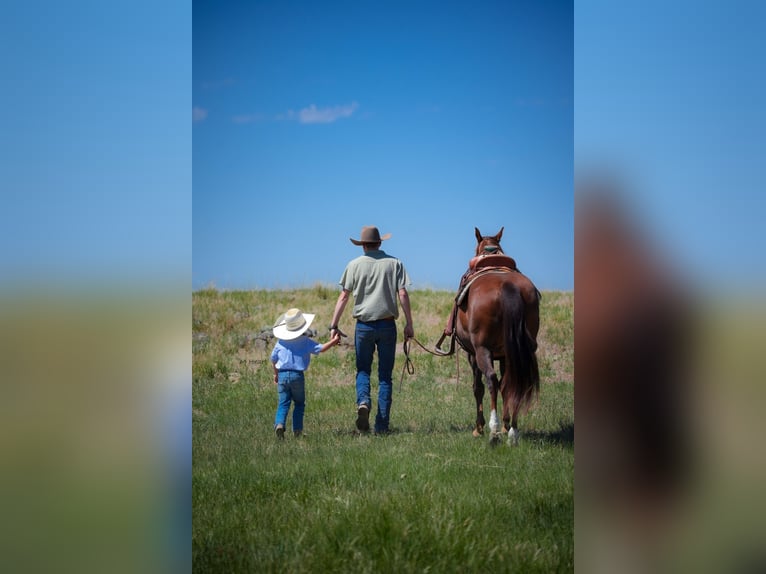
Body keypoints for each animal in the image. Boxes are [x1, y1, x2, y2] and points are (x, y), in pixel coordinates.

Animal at [454, 227, 541, 446]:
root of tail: (508, 287)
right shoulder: (504, 355)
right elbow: (505, 386)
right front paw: (506, 425)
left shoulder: (473, 354)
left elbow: (478, 387)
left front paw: (479, 427)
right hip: (518, 350)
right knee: (513, 382)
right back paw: (512, 432)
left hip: (482, 350)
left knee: (491, 380)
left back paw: (493, 431)